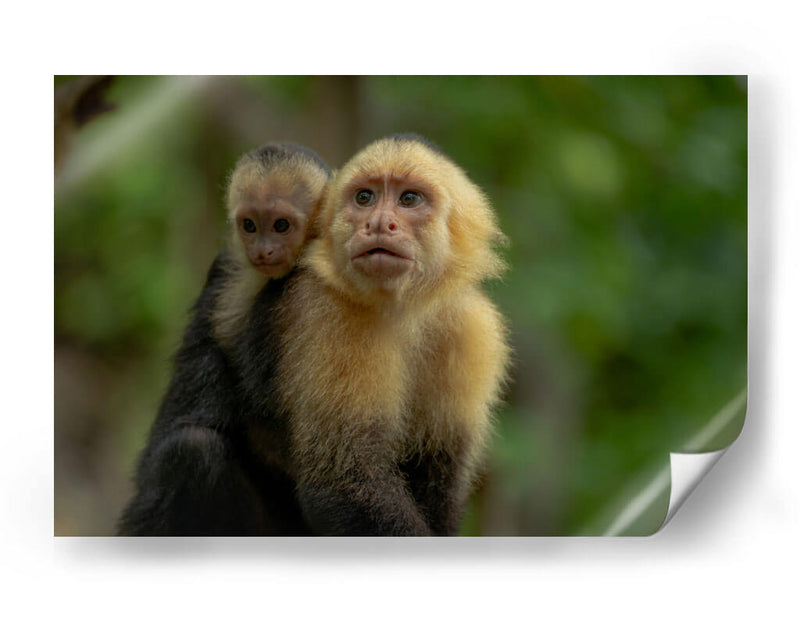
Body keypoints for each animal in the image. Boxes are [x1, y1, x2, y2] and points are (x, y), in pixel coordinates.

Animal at [232, 134, 510, 535]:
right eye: (364, 198)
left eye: (409, 199)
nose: (378, 223)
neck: (405, 309)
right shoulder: (327, 308)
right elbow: (342, 479)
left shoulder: (472, 328)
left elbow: (440, 477)